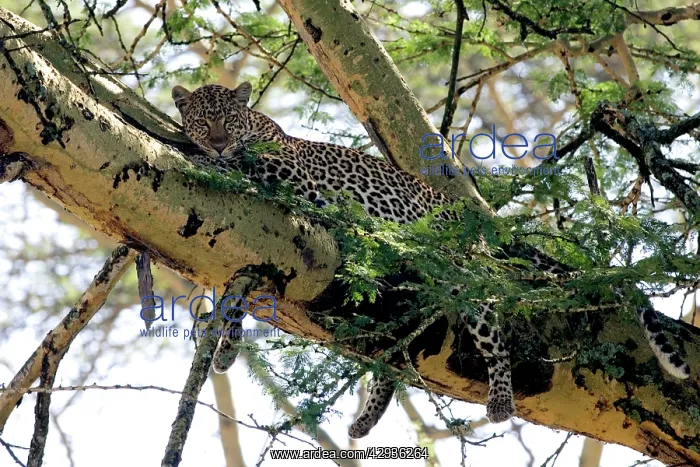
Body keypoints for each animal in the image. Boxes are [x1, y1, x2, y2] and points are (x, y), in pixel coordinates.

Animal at [171, 82, 690, 439]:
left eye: (229, 121)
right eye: (202, 121)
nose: (215, 142)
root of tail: (464, 215)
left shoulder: (290, 174)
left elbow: (242, 164)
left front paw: (204, 157)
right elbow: (239, 294)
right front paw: (227, 348)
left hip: (457, 273)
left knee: (490, 322)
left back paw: (501, 400)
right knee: (392, 352)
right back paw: (365, 420)